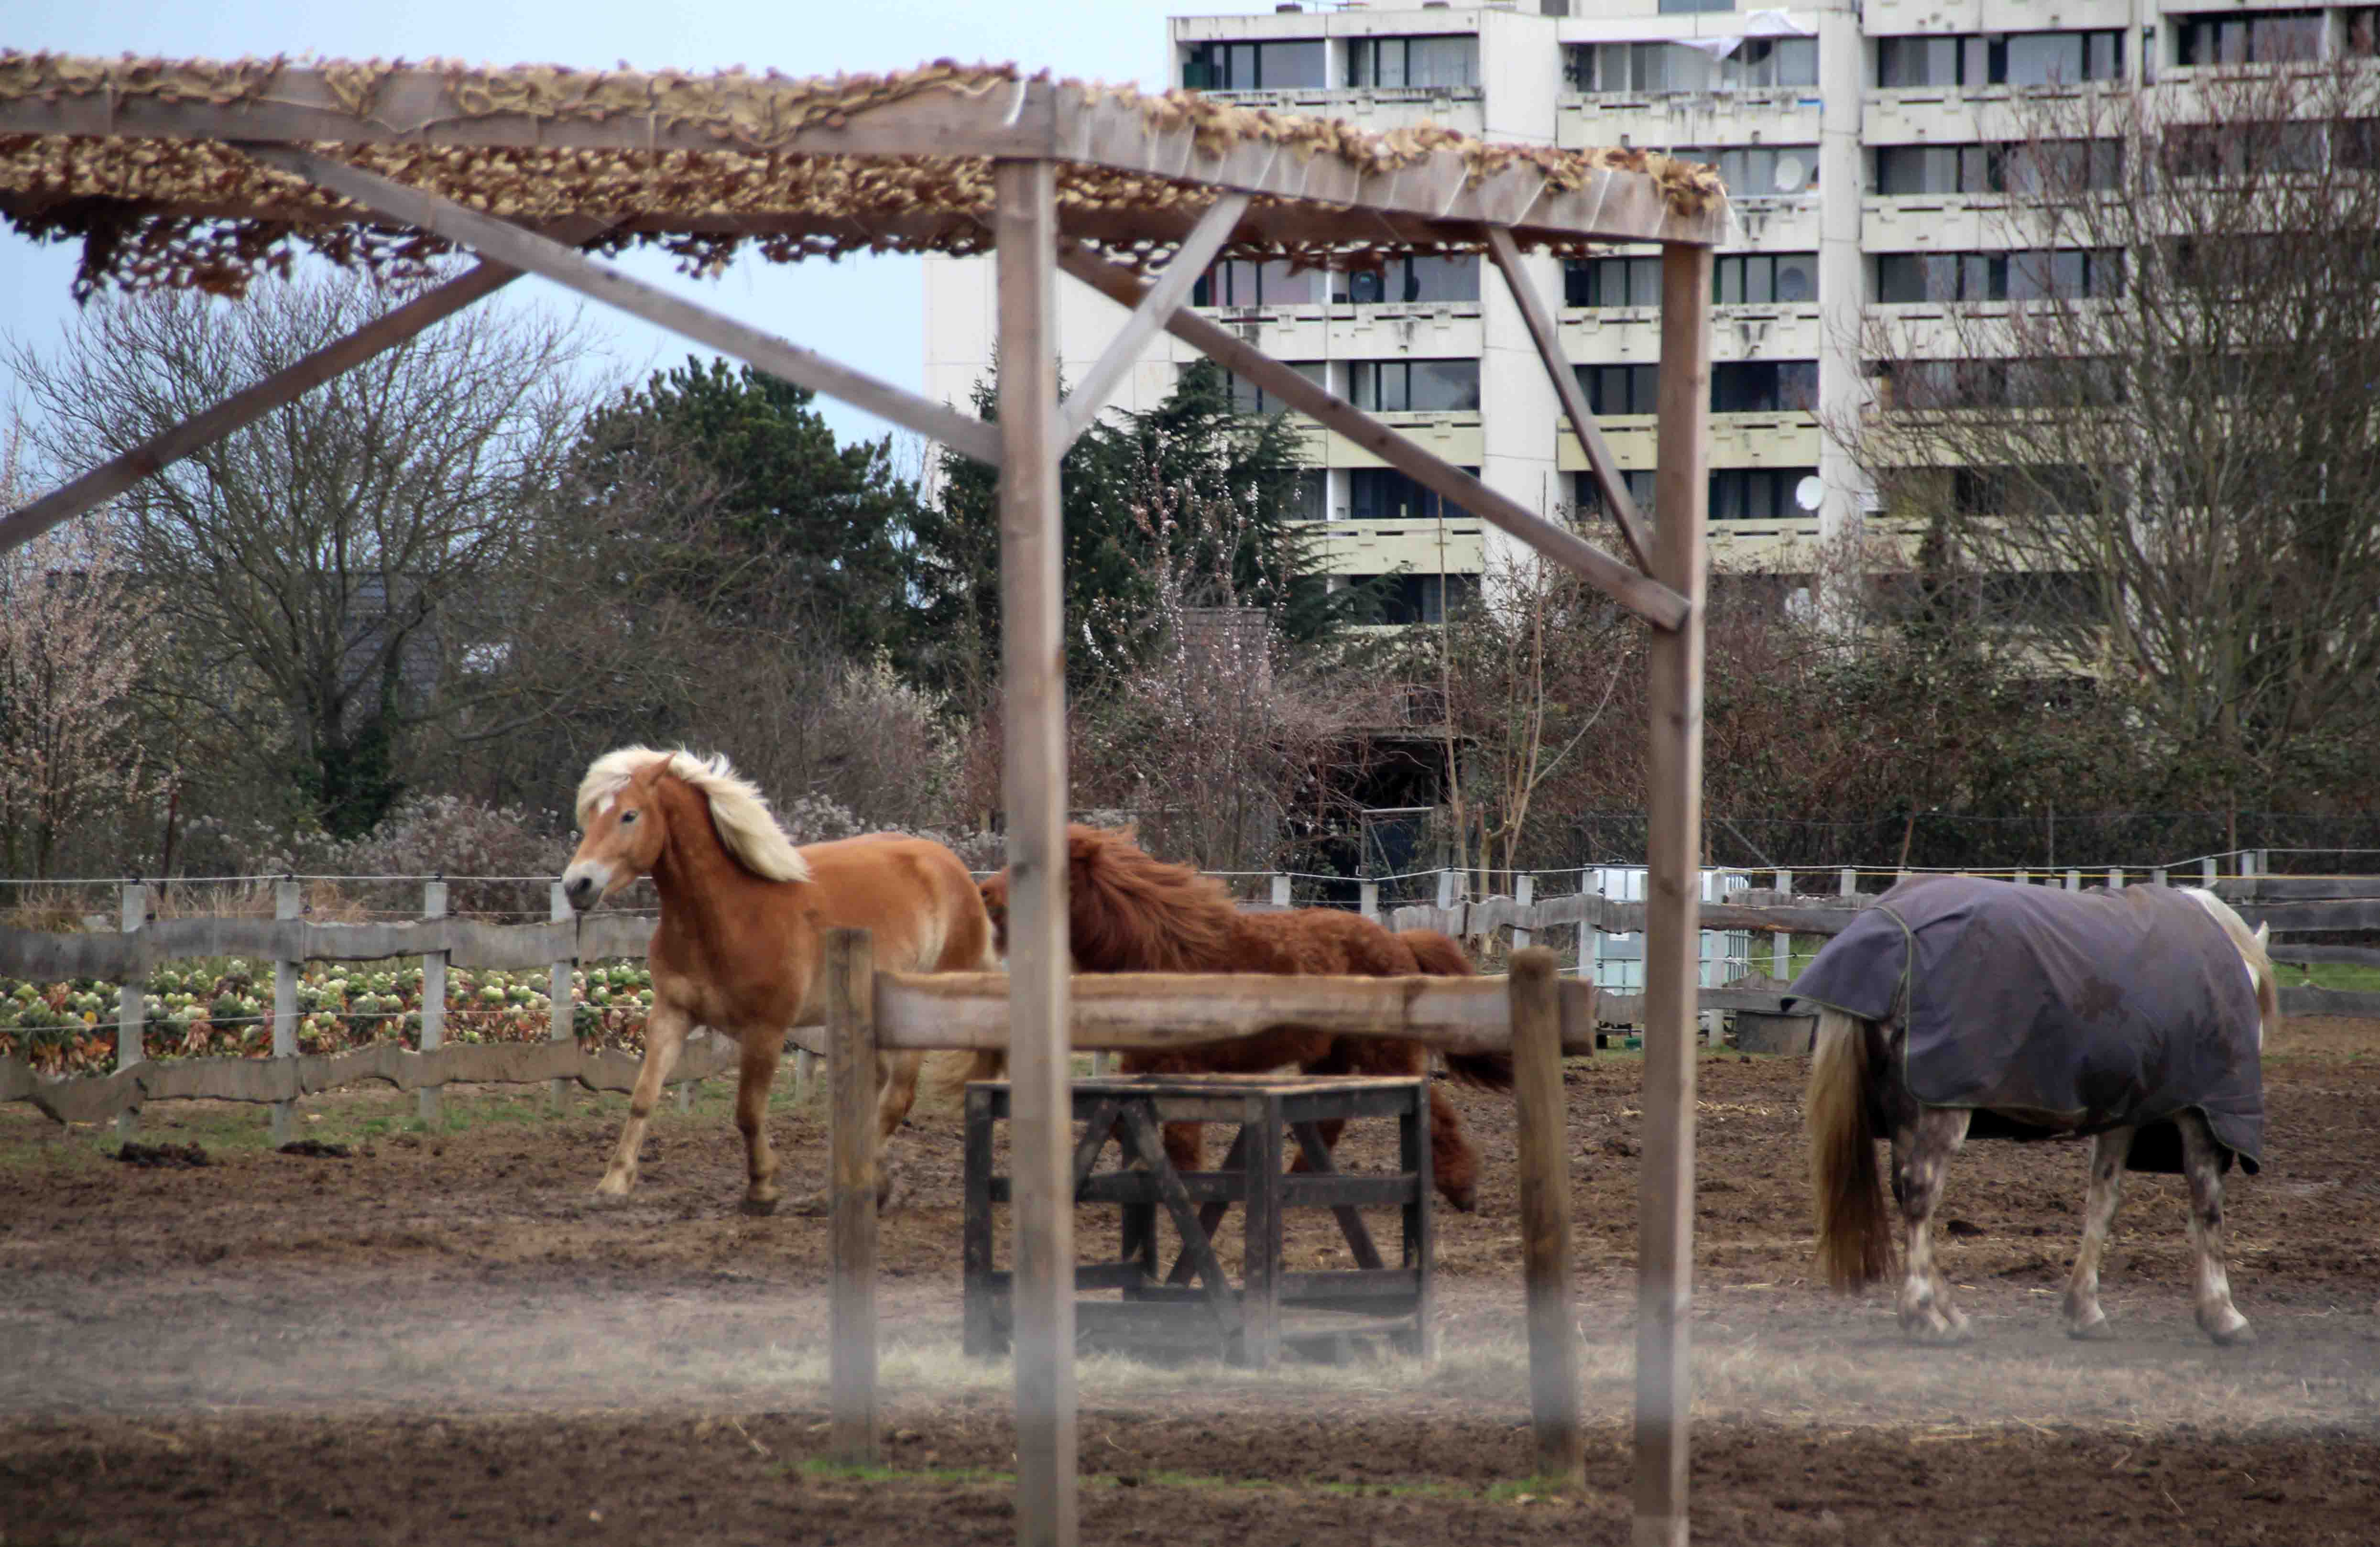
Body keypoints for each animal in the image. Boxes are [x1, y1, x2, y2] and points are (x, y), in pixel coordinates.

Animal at [561, 752, 990, 1218]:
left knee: (897, 1100)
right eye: (590, 815)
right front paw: (614, 1184)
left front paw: (761, 1189)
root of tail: (955, 871)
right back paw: (866, 1188)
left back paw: (839, 1192)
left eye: (629, 815)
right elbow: (643, 1097)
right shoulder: (670, 1016)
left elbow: (748, 1113)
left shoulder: (765, 1031)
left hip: (919, 1018)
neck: (730, 913)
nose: (577, 885)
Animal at [971, 823, 1504, 1209]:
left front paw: (1183, 1187)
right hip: (1331, 1056)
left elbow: (1175, 1132)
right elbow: (1132, 1121)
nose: (984, 894)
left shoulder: (1174, 1063)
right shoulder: (1144, 1061)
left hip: (1383, 1052)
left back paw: (1462, 1189)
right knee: (1329, 1117)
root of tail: (1399, 942)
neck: (1159, 949)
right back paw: (1305, 1184)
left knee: (1433, 1110)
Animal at [1790, 876, 2275, 1342]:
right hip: (1941, 1109)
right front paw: (2222, 1313)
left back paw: (1948, 1313)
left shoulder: (2123, 1115)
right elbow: (2208, 1207)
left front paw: (2085, 1309)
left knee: (1906, 1196)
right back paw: (1924, 1315)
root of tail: (1884, 927)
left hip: (1905, 1112)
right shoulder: (2201, 1114)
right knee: (1920, 1194)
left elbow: (2103, 1202)